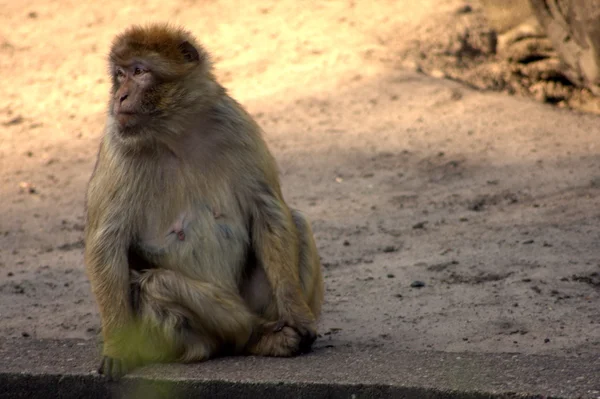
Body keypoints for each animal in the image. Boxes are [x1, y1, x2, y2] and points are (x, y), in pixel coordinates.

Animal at [84, 23, 324, 380]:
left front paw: (298, 313)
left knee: (296, 221)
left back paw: (272, 336)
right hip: (184, 333)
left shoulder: (235, 124)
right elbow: (107, 242)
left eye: (139, 72)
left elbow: (268, 211)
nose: (119, 96)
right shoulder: (118, 142)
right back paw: (251, 335)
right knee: (156, 285)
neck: (177, 132)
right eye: (119, 74)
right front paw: (117, 347)